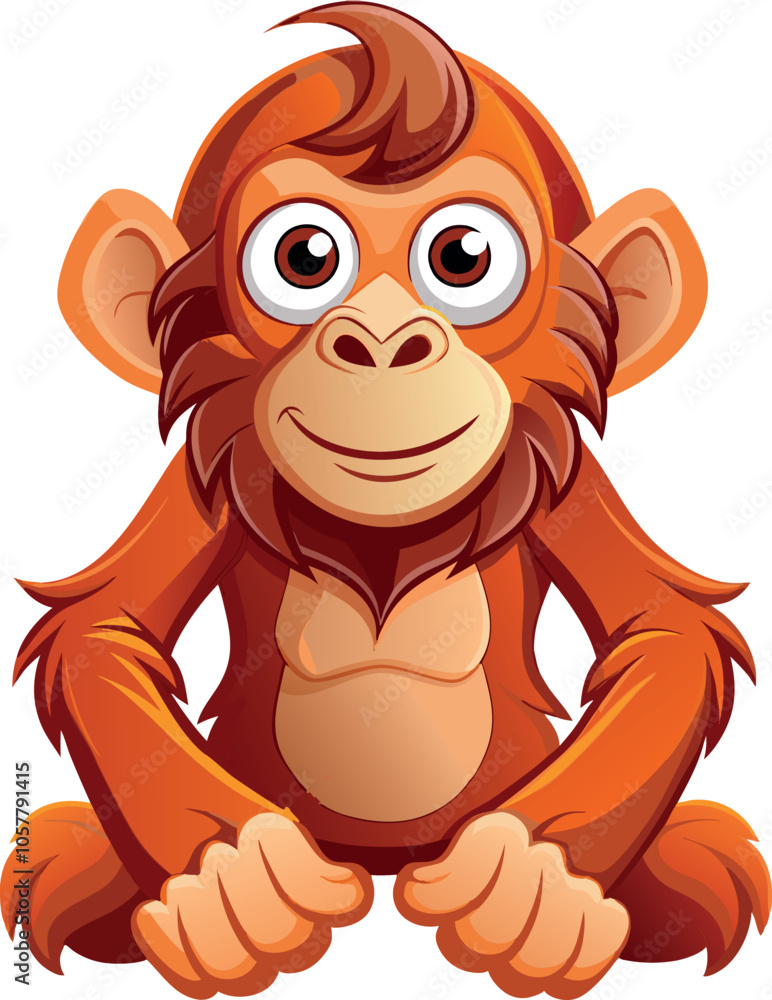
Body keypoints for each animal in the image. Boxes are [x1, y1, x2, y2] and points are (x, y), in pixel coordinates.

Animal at [2, 4, 769, 999]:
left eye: (463, 257)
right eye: (304, 257)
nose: (379, 340)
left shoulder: (569, 488)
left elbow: (662, 628)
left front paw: (533, 880)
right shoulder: (199, 487)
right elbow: (106, 628)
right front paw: (233, 880)